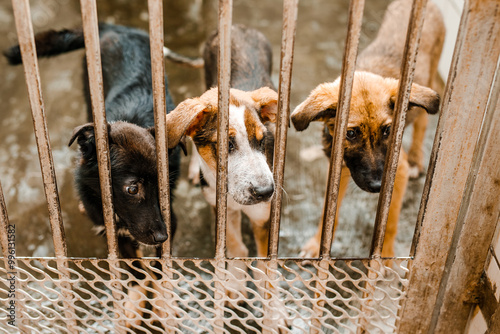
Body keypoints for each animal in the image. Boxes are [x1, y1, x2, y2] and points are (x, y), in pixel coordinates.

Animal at [167, 24, 278, 298]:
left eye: (263, 141)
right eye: (226, 146)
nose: (266, 191)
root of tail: (239, 27)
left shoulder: (263, 216)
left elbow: (264, 265)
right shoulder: (224, 212)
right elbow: (237, 249)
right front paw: (236, 284)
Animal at [292, 0, 444, 260]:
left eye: (388, 131)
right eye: (351, 133)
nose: (377, 186)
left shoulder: (398, 172)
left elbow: (389, 223)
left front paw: (384, 257)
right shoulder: (339, 169)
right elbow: (329, 213)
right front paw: (316, 244)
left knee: (422, 123)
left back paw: (417, 158)